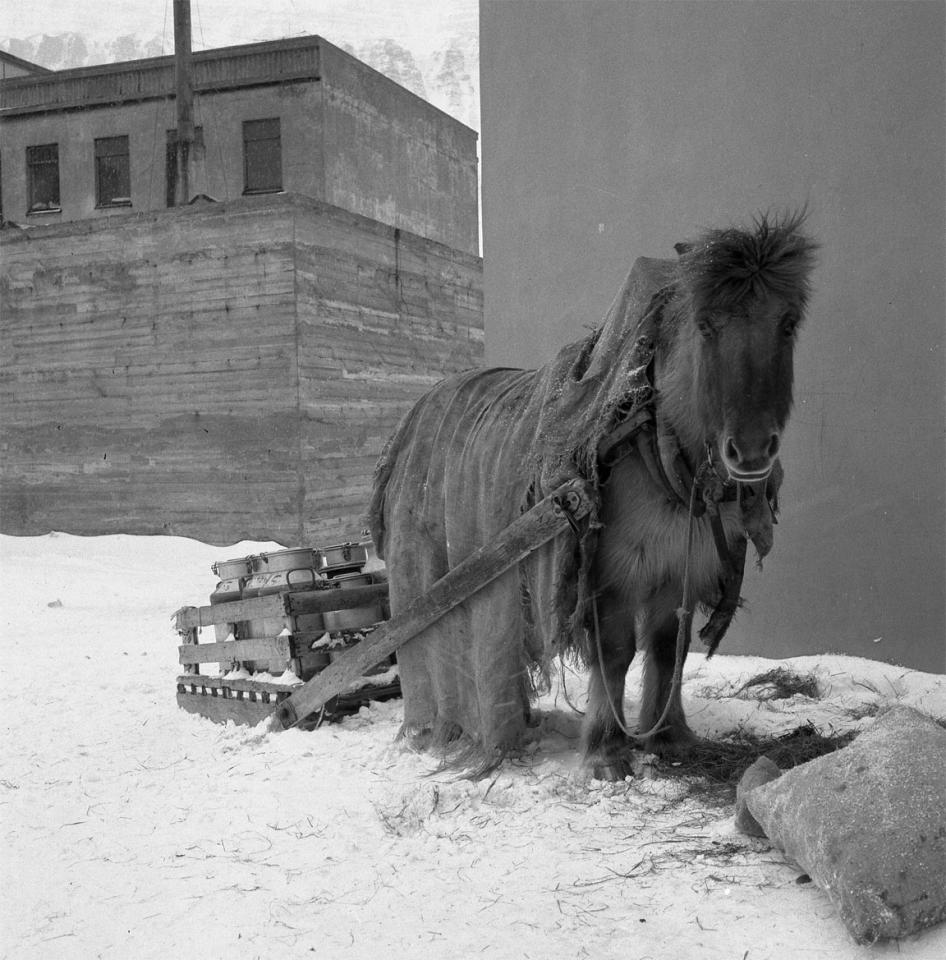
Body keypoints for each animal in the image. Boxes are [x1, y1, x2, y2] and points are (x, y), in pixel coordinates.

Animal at [369, 211, 818, 779]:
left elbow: (668, 650)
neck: (655, 452)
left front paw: (668, 736)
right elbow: (618, 652)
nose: (752, 448)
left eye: (788, 322)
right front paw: (606, 749)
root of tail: (417, 409)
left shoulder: (680, 569)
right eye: (705, 324)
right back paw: (441, 729)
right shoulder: (609, 574)